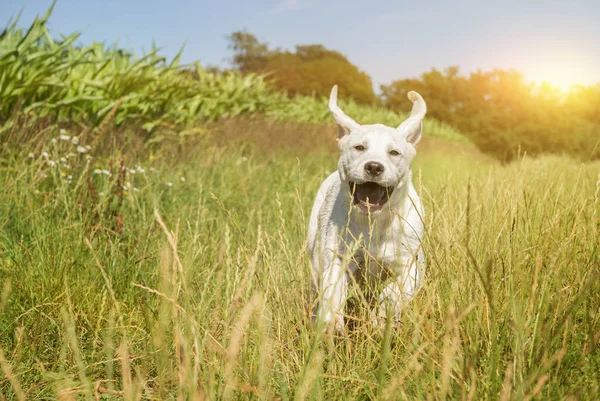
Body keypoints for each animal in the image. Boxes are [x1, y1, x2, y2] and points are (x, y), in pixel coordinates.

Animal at [310, 85, 426, 332]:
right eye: (359, 147)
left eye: (394, 153)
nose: (374, 166)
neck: (375, 222)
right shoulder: (339, 257)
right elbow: (333, 289)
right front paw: (332, 322)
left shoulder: (411, 266)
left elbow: (392, 292)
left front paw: (381, 319)